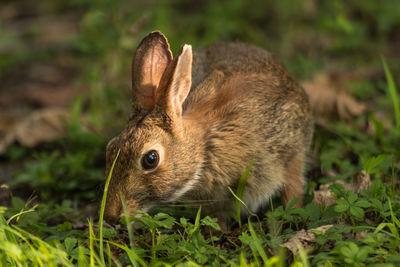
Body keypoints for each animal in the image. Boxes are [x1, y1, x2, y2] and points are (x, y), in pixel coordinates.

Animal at [102, 30, 312, 225]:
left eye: (150, 159)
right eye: (110, 148)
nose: (110, 216)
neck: (205, 147)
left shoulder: (290, 155)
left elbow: (293, 190)